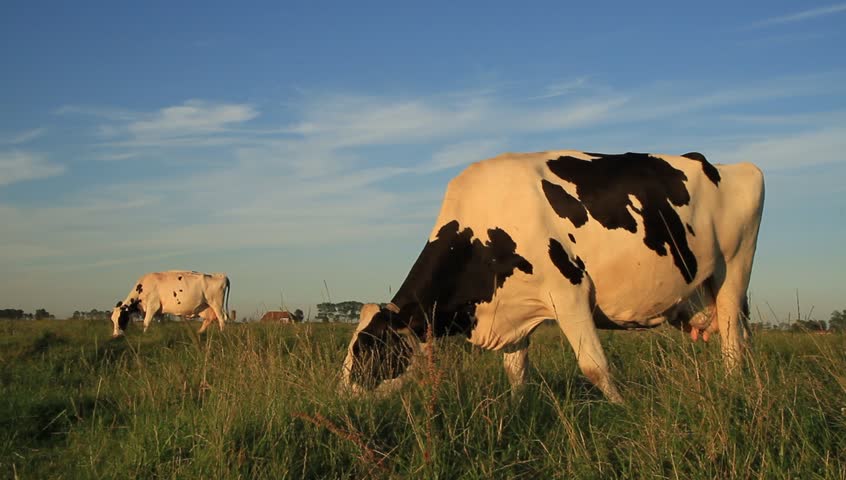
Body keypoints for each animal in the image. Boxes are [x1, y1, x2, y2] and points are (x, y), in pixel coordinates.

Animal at [341, 150, 765, 403]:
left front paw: (623, 406)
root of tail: (726, 165)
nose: (343, 401)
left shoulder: (570, 291)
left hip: (734, 268)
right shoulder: (512, 306)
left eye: (370, 351)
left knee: (732, 342)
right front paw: (518, 410)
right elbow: (515, 371)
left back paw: (732, 388)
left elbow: (595, 366)